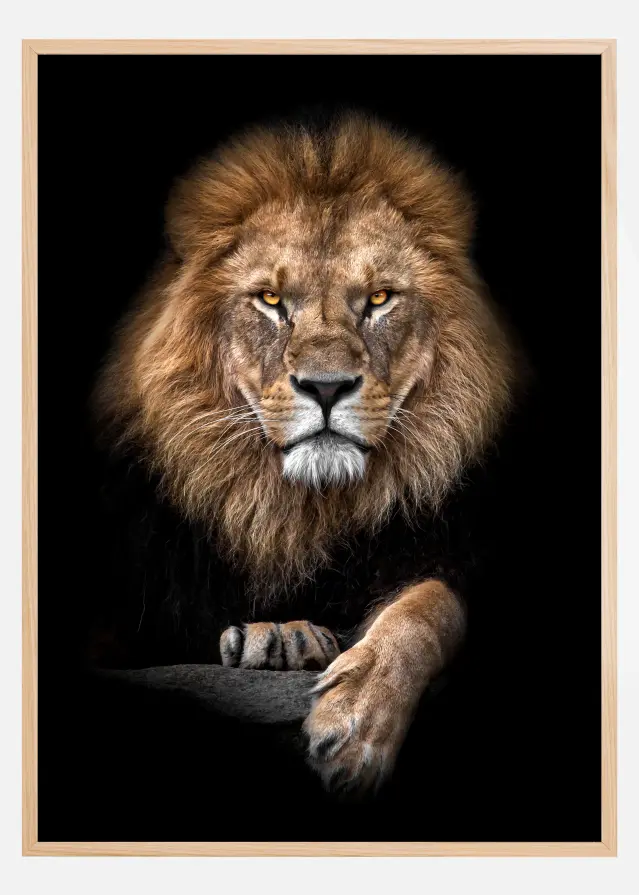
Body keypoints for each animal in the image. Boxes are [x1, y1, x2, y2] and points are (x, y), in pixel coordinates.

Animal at [94, 113, 518, 793]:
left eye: (379, 299)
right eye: (271, 301)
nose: (325, 386)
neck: (298, 512)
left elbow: (430, 606)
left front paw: (357, 722)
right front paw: (280, 639)